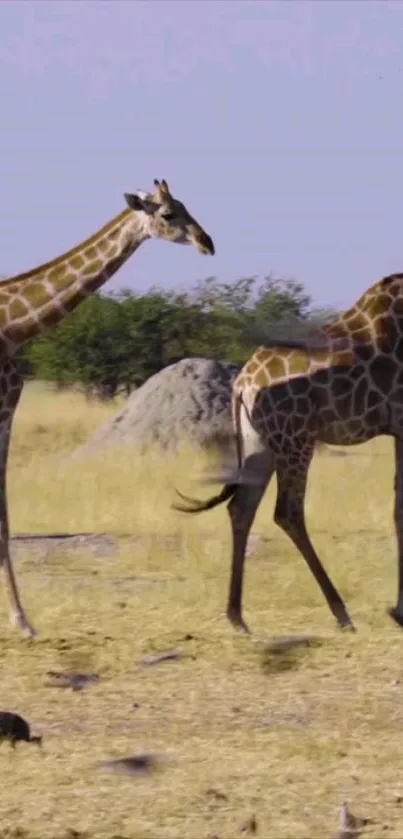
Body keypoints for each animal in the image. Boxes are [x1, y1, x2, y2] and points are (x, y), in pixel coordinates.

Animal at [0, 177, 216, 636]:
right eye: (169, 213)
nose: (207, 242)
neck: (14, 326)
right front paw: (22, 621)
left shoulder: (7, 408)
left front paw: (22, 620)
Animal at [174, 272, 403, 632]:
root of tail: (242, 384)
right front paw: (399, 611)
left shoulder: (397, 429)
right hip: (294, 439)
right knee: (288, 512)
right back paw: (341, 614)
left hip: (261, 443)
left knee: (242, 508)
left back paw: (237, 617)